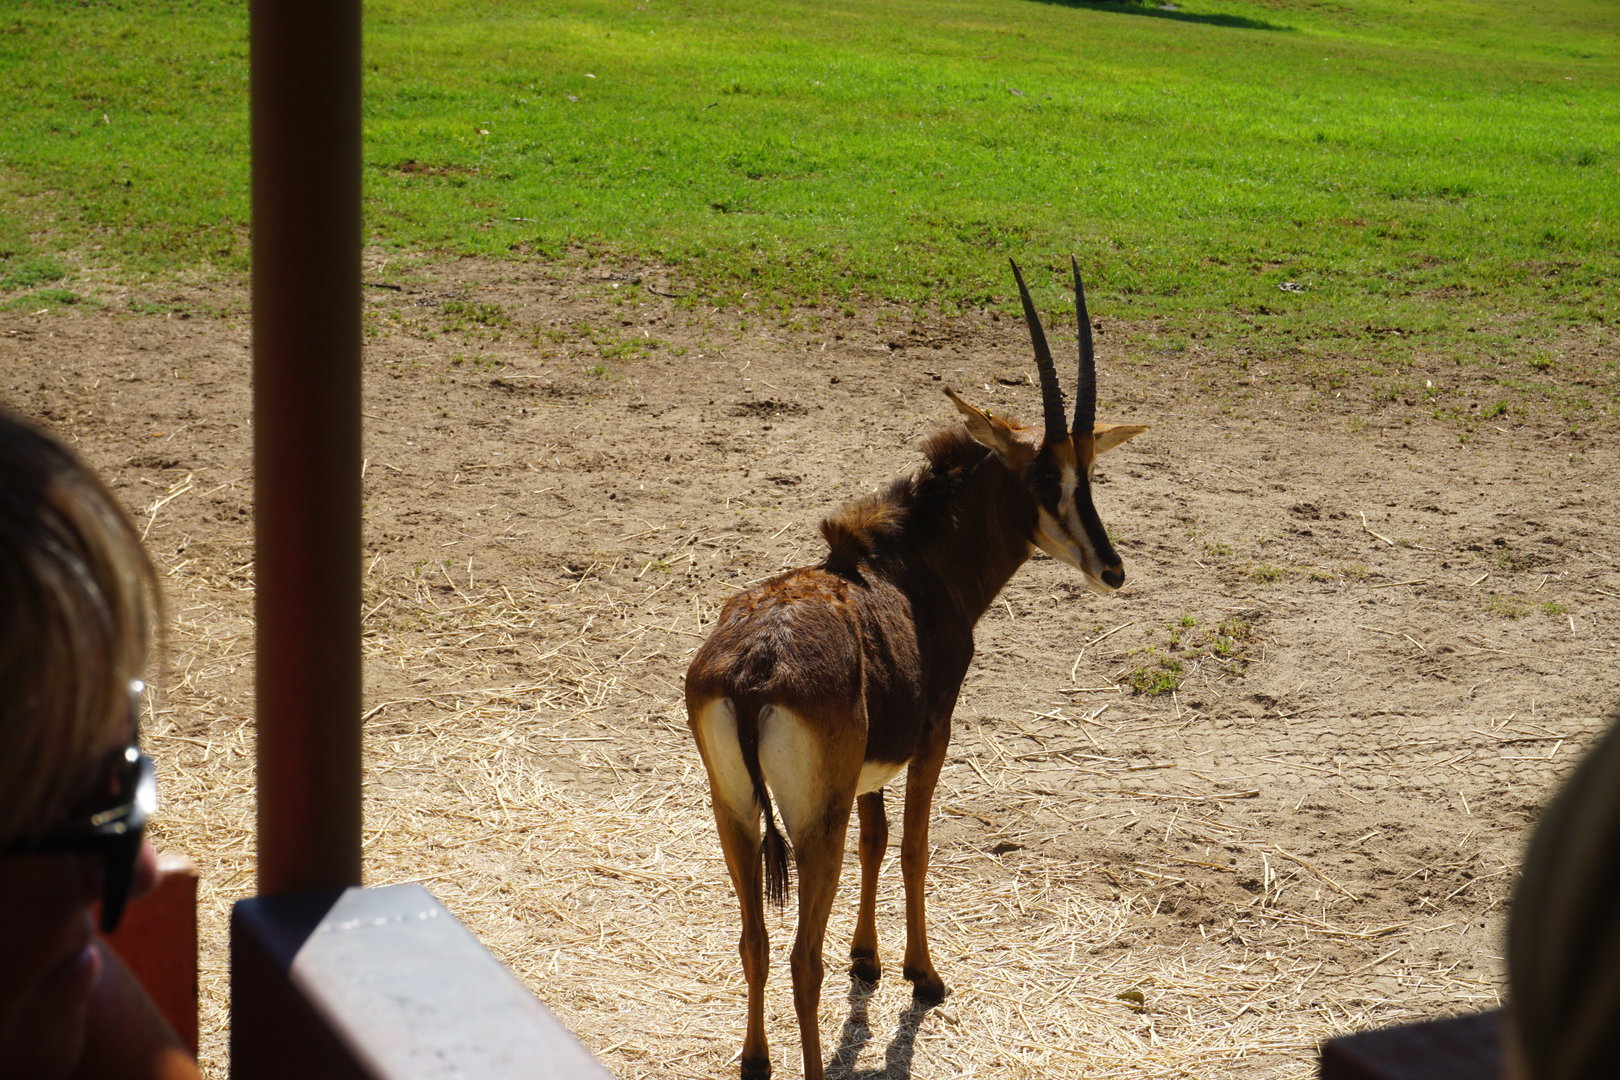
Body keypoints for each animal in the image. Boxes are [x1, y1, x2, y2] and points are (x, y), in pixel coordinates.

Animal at [686, 258, 1148, 1080]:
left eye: (1090, 473)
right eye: (1043, 479)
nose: (1112, 569)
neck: (912, 561)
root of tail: (751, 674)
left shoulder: (872, 767)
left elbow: (878, 839)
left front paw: (867, 960)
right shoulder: (934, 736)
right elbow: (913, 848)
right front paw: (922, 974)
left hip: (733, 811)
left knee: (755, 939)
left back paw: (756, 1061)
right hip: (813, 820)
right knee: (799, 956)